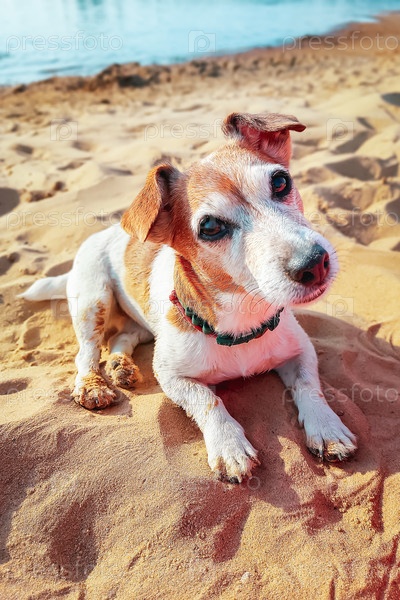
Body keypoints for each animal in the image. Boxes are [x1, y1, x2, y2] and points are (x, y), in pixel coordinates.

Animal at [21, 112, 357, 482]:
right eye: (210, 227)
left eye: (281, 182)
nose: (314, 264)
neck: (242, 322)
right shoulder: (172, 376)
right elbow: (207, 400)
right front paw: (229, 446)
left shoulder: (300, 350)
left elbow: (309, 386)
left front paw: (326, 428)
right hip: (93, 300)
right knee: (87, 352)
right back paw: (93, 385)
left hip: (141, 323)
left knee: (124, 336)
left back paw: (122, 367)